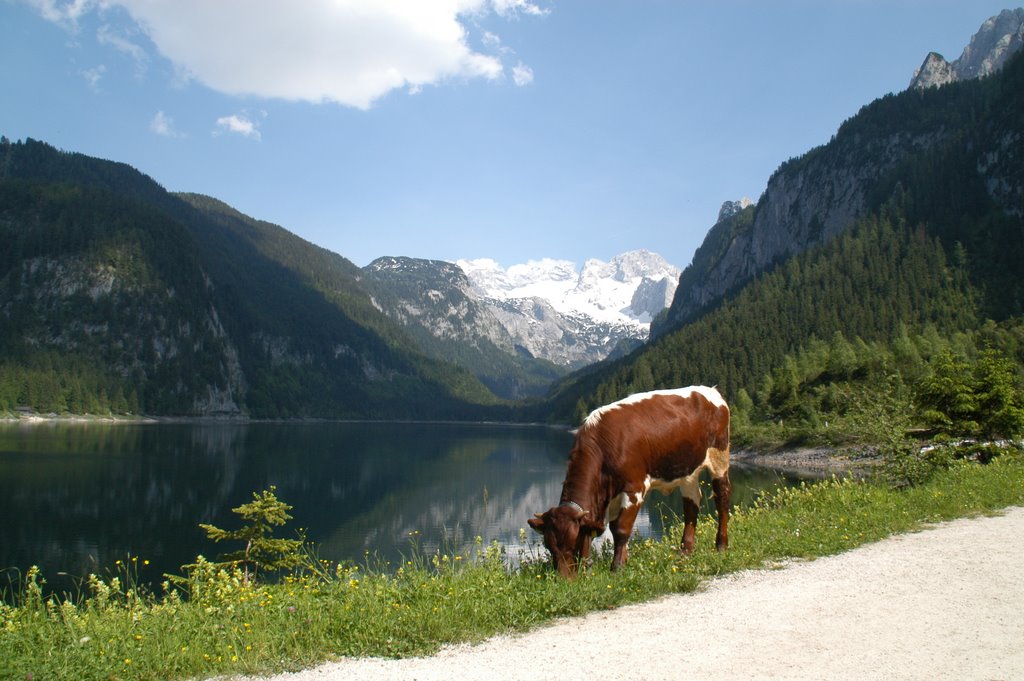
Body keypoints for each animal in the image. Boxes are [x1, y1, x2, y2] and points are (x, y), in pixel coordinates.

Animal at [528, 385, 729, 577]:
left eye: (572, 544)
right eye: (549, 547)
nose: (564, 579)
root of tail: (710, 391)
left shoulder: (634, 488)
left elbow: (621, 529)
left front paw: (617, 567)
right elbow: (605, 529)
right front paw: (615, 563)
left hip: (719, 456)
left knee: (722, 497)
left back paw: (721, 545)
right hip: (688, 471)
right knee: (691, 505)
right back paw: (685, 551)